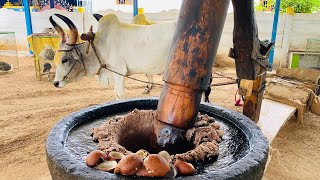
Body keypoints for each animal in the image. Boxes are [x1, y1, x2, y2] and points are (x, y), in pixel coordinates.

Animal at [49, 13, 178, 98]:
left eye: (65, 60)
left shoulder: (119, 72)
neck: (100, 47)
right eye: (55, 60)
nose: (56, 83)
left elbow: (120, 94)